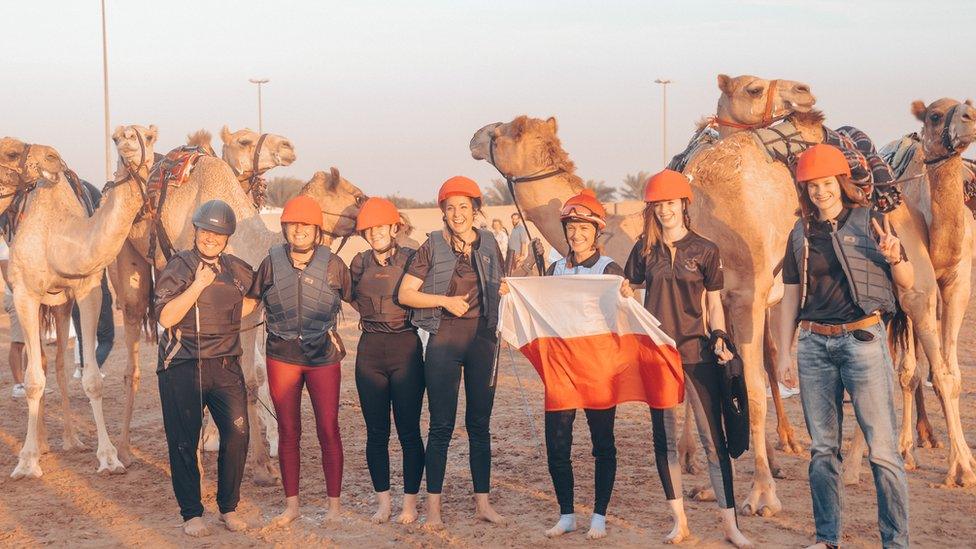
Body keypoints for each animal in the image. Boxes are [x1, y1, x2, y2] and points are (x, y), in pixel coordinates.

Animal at [7, 138, 150, 480]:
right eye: (11, 152)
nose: (52, 157)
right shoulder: (24, 293)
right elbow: (33, 380)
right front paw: (27, 461)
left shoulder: (87, 289)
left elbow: (92, 378)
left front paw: (109, 458)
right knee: (39, 364)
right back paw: (41, 444)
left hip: (61, 305)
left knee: (57, 362)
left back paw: (71, 440)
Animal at [107, 131, 366, 482]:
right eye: (357, 198)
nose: (399, 220)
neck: (250, 245)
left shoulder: (248, 312)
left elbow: (251, 382)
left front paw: (262, 466)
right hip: (128, 262)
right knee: (132, 355)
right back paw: (121, 453)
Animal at [840, 97, 976, 484]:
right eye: (934, 115)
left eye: (967, 104)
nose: (970, 116)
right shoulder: (909, 292)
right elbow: (908, 373)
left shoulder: (958, 283)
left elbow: (950, 374)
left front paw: (961, 465)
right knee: (905, 369)